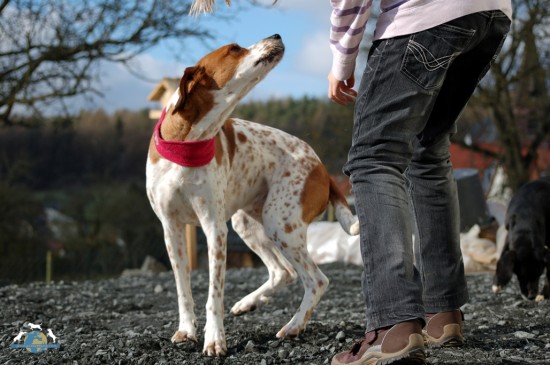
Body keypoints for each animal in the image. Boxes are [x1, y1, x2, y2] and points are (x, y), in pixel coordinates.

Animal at [147, 34, 360, 356]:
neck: (187, 144)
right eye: (234, 49)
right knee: (284, 272)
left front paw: (214, 339)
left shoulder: (214, 229)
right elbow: (184, 290)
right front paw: (186, 331)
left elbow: (213, 296)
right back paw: (248, 303)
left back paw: (293, 326)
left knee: (316, 280)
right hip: (248, 224)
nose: (276, 35)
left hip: (279, 223)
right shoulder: (172, 230)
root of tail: (321, 167)